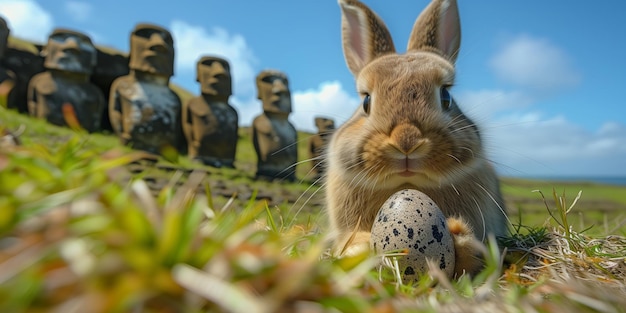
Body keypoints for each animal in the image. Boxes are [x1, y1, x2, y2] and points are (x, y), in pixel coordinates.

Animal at [326, 0, 508, 274]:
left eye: (446, 96)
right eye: (366, 101)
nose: (406, 142)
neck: (406, 185)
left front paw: (458, 236)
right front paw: (359, 247)